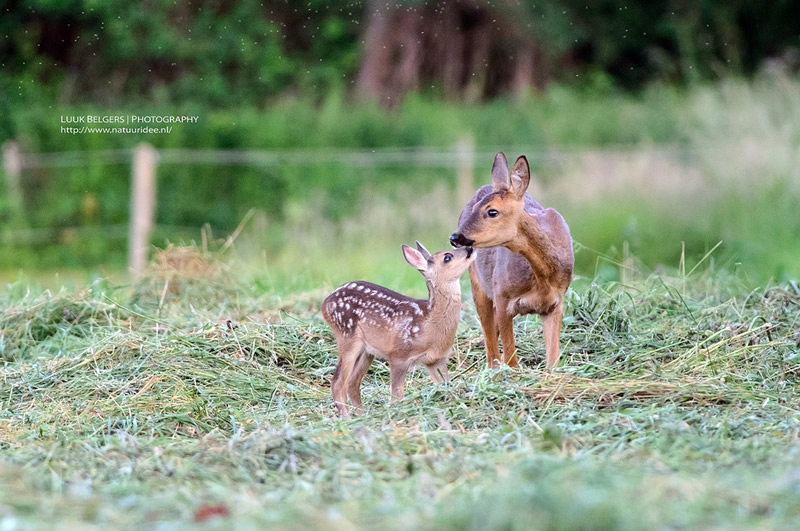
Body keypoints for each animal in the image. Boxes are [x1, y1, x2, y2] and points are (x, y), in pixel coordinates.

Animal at [324, 241, 476, 416]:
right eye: (447, 257)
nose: (470, 248)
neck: (428, 324)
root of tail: (325, 303)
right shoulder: (398, 355)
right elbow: (396, 395)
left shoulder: (436, 360)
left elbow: (447, 386)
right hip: (347, 335)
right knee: (338, 382)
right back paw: (348, 418)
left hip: (366, 351)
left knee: (352, 383)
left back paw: (362, 416)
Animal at [446, 154, 572, 368]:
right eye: (475, 208)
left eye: (492, 211)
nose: (455, 237)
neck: (542, 276)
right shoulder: (502, 295)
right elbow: (511, 359)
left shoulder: (555, 303)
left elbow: (553, 361)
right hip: (479, 285)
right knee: (491, 347)